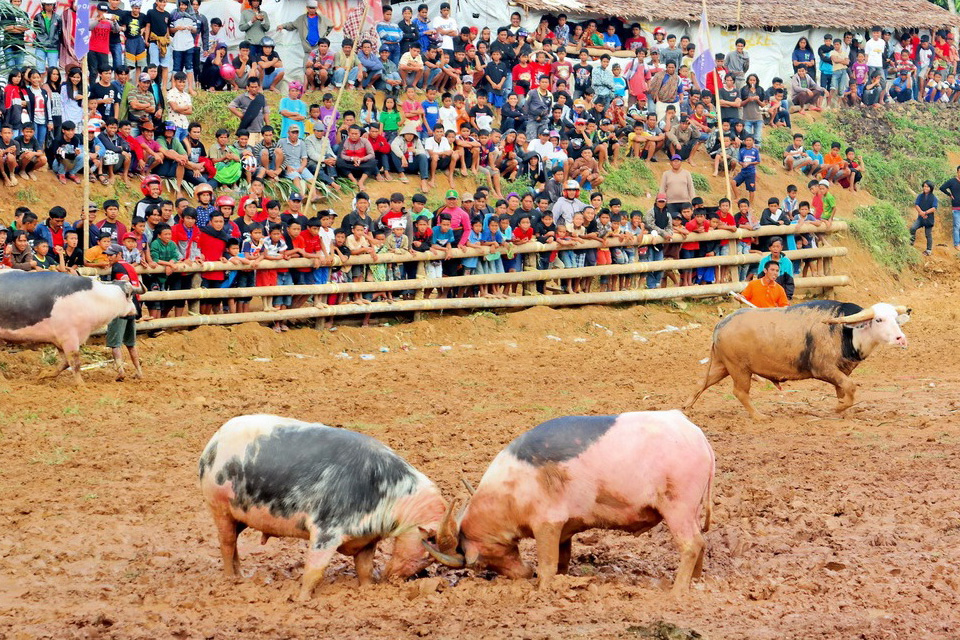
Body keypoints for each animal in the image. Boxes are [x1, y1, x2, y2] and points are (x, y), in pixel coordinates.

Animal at [0, 268, 137, 382]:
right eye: (131, 296)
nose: (135, 311)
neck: (92, 299)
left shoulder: (58, 341)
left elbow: (64, 363)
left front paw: (44, 375)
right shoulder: (69, 338)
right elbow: (75, 363)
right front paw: (81, 385)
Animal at [198, 416, 450, 600]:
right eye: (429, 554)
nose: (394, 580)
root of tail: (213, 443)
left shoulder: (367, 540)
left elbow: (365, 568)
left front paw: (367, 590)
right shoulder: (325, 530)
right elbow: (314, 570)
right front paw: (301, 600)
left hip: (239, 517)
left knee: (235, 543)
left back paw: (241, 575)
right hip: (218, 506)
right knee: (226, 543)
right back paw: (231, 580)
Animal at [424, 412, 716, 592]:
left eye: (479, 563)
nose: (526, 574)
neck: (509, 495)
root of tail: (701, 438)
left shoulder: (547, 521)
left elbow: (548, 563)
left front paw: (542, 589)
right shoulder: (565, 527)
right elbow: (562, 559)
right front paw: (561, 581)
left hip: (679, 502)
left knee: (692, 544)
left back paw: (675, 592)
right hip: (692, 506)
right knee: (702, 540)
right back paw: (696, 582)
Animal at [684, 302, 908, 420]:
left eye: (896, 319)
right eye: (878, 319)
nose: (900, 338)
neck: (845, 332)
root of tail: (720, 325)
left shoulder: (841, 372)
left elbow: (843, 390)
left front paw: (842, 409)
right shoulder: (824, 369)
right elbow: (851, 387)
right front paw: (838, 408)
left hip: (722, 365)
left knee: (700, 383)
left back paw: (686, 407)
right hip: (739, 369)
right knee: (740, 392)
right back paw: (759, 416)